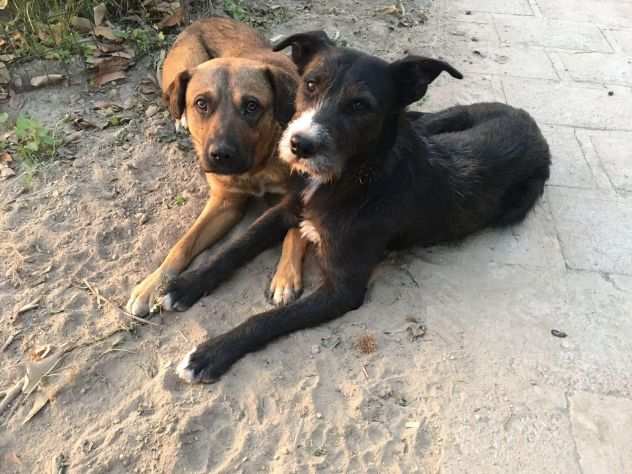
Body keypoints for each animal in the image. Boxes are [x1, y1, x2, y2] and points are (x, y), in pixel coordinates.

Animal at [126, 18, 308, 316]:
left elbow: (294, 233)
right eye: (201, 103)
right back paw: (180, 118)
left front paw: (285, 277)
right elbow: (182, 245)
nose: (220, 155)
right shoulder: (224, 203)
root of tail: (204, 20)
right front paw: (152, 283)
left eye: (251, 106)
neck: (256, 166)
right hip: (184, 63)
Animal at [160, 31, 552, 384]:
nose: (298, 144)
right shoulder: (288, 209)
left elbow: (266, 319)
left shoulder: (342, 290)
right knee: (422, 121)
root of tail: (528, 120)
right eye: (310, 84)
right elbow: (236, 247)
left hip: (518, 203)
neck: (351, 179)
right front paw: (183, 285)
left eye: (360, 105)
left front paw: (210, 354)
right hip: (447, 119)